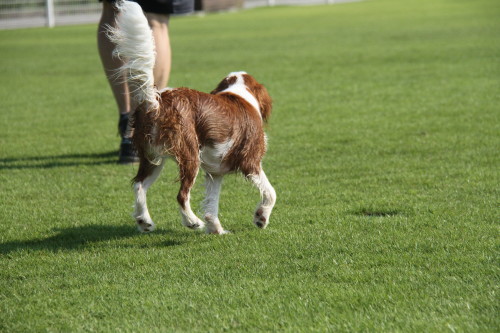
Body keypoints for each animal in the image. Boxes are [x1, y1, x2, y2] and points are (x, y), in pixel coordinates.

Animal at [107, 0, 276, 233]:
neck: (238, 93)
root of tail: (156, 101)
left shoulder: (215, 173)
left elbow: (211, 206)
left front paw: (217, 230)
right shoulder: (250, 161)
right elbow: (271, 192)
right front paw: (261, 217)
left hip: (151, 156)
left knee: (139, 185)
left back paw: (144, 221)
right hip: (189, 154)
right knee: (181, 195)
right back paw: (191, 221)